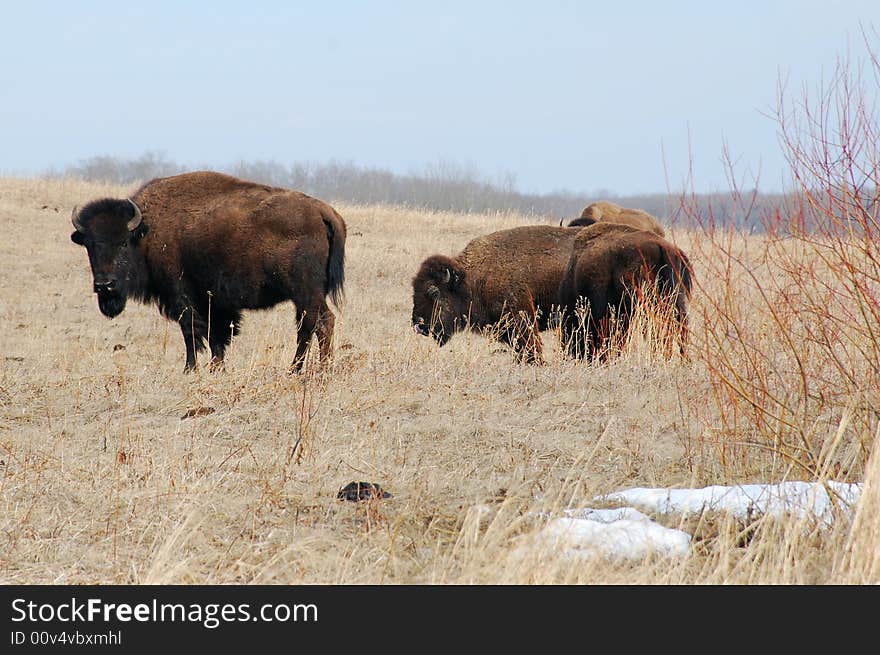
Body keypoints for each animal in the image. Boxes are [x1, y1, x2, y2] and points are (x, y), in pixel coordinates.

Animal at [70, 170, 346, 374]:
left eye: (123, 243)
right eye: (90, 245)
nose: (104, 285)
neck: (146, 232)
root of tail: (323, 211)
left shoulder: (181, 294)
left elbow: (191, 330)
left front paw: (190, 369)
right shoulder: (215, 301)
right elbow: (217, 335)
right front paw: (217, 368)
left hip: (305, 291)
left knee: (321, 321)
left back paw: (316, 369)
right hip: (305, 295)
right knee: (308, 325)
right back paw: (298, 369)